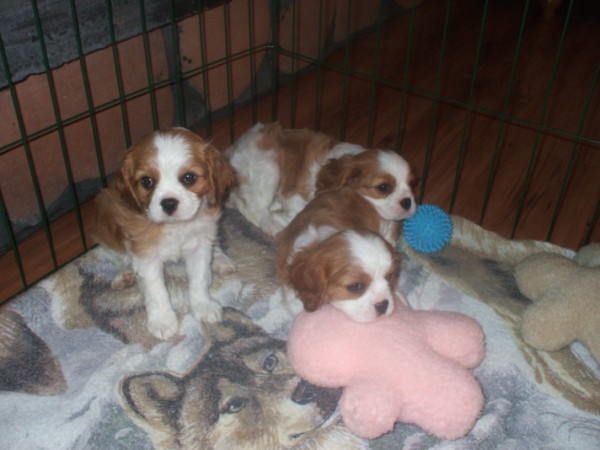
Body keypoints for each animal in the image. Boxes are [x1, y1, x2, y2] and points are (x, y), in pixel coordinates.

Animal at [92, 125, 236, 338]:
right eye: (147, 181)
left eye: (189, 178)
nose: (168, 203)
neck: (175, 226)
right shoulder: (146, 255)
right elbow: (156, 290)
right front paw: (162, 321)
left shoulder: (198, 247)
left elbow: (199, 278)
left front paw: (203, 305)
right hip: (106, 222)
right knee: (119, 254)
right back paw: (125, 274)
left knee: (213, 241)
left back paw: (220, 259)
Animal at [225, 121, 418, 237]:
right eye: (384, 187)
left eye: (412, 184)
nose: (407, 202)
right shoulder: (296, 197)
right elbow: (297, 215)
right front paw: (284, 221)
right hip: (267, 169)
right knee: (259, 210)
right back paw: (273, 225)